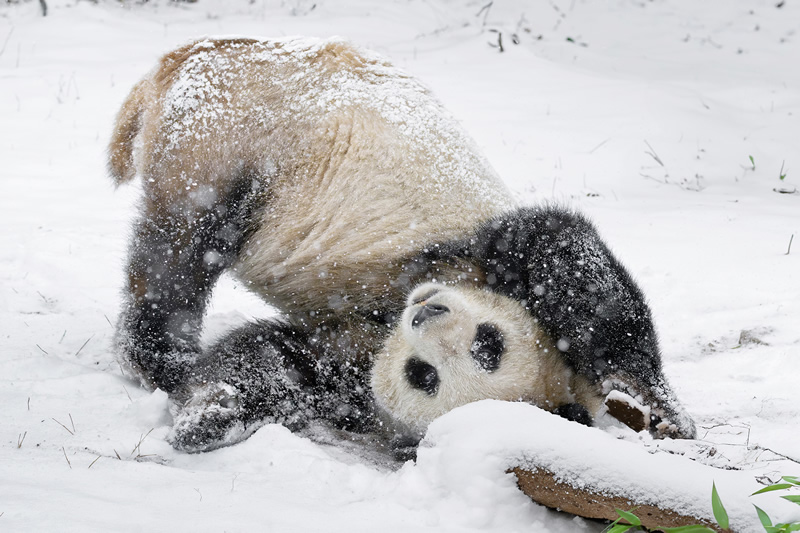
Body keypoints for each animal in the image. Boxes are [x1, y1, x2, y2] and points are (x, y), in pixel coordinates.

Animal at [108, 36, 695, 452]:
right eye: (490, 341)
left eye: (424, 376)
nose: (426, 313)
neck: (390, 313)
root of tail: (184, 58)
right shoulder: (479, 259)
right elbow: (569, 263)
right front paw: (657, 407)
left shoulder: (352, 360)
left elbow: (278, 361)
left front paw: (212, 415)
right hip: (230, 138)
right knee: (179, 253)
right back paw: (165, 357)